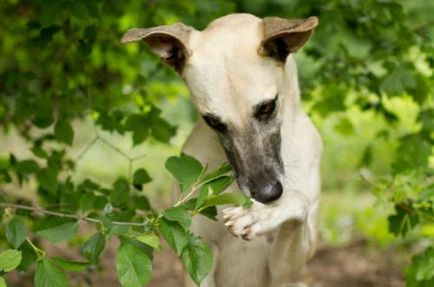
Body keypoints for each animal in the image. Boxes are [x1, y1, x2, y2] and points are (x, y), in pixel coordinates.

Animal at [122, 12, 322, 286]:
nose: (267, 194)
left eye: (267, 106)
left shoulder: (284, 269)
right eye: (213, 121)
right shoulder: (196, 253)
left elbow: (298, 201)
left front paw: (259, 214)